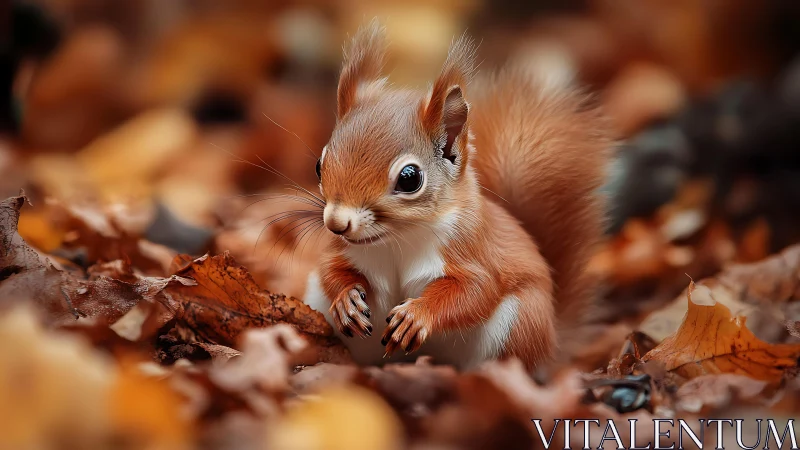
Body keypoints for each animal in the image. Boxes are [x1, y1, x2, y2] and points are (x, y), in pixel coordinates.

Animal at [302, 20, 610, 371]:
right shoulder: (343, 251)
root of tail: (554, 344)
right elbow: (330, 269)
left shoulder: (474, 251)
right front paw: (347, 300)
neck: (398, 241)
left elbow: (475, 291)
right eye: (319, 165)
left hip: (521, 322)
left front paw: (417, 315)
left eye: (410, 178)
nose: (336, 223)